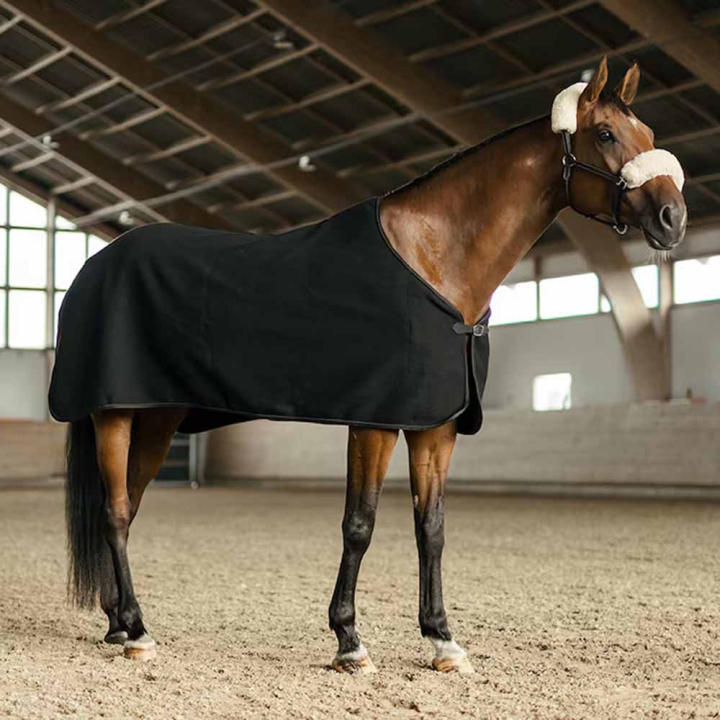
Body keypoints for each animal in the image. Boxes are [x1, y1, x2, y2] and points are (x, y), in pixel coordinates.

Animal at [55, 57, 686, 672]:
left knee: (130, 507)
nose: (673, 218)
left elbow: (430, 527)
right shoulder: (374, 421)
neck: (435, 259)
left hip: (157, 418)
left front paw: (442, 640)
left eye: (651, 135)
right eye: (605, 134)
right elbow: (359, 524)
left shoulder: (435, 427)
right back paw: (137, 631)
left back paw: (118, 622)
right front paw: (348, 640)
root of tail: (94, 266)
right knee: (115, 513)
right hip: (115, 415)